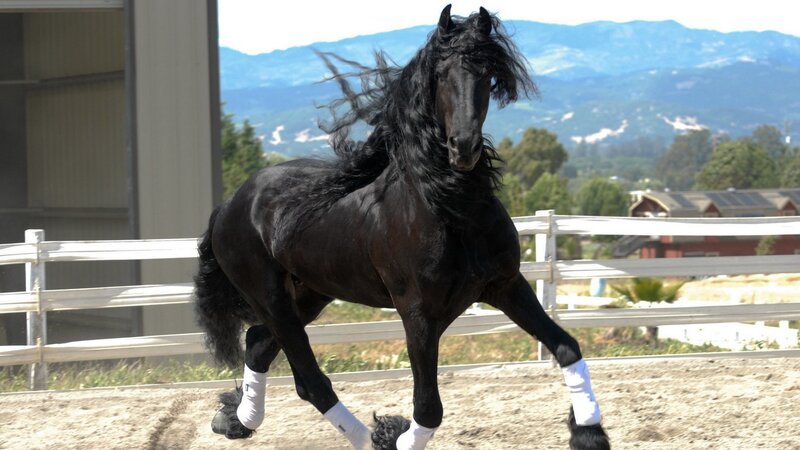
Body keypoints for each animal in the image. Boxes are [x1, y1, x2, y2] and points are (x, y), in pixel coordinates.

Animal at [193, 5, 610, 450]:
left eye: (486, 74)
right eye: (441, 74)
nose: (463, 148)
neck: (451, 209)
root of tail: (230, 205)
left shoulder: (506, 286)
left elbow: (566, 347)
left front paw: (589, 433)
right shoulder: (418, 314)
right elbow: (428, 407)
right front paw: (394, 433)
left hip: (309, 294)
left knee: (257, 344)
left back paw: (235, 420)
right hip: (271, 298)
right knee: (311, 382)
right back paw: (369, 436)